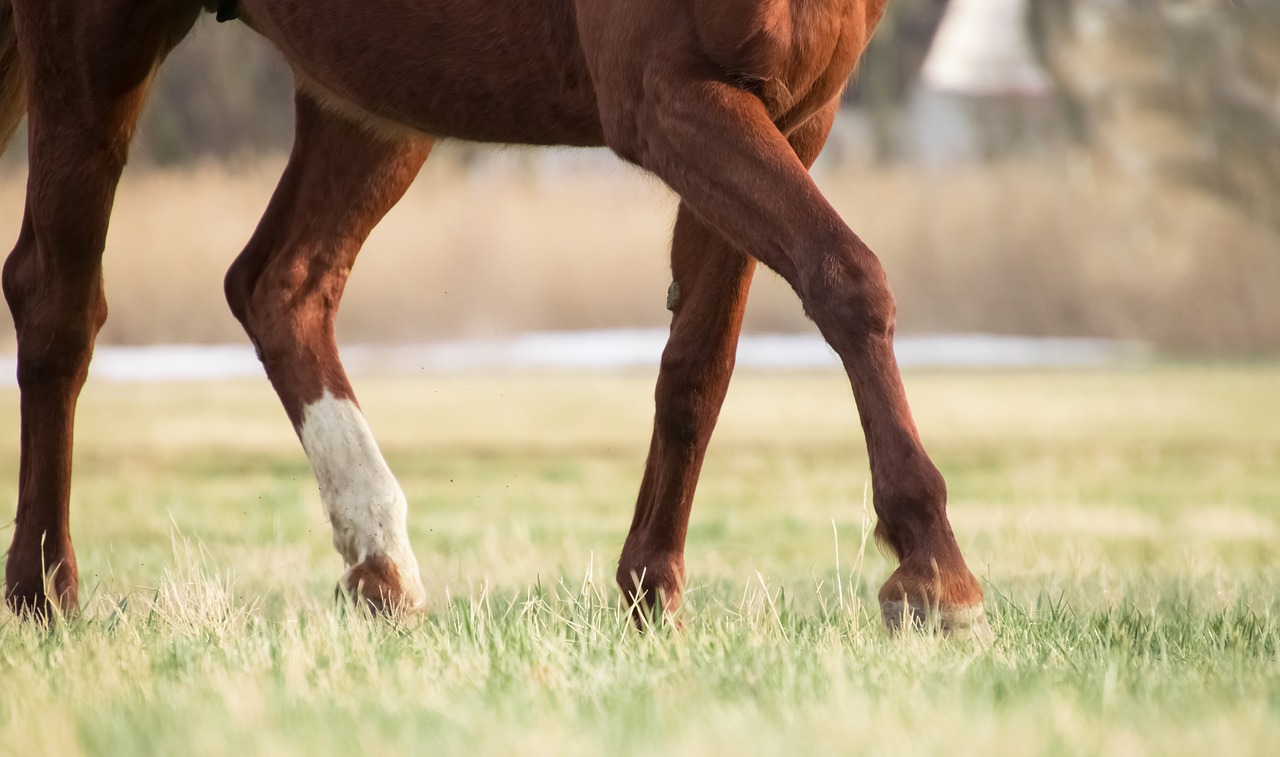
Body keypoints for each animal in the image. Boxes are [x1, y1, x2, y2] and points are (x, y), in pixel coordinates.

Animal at [0, 0, 988, 637]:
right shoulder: (668, 94)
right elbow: (847, 279)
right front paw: (933, 569)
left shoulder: (794, 111)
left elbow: (699, 363)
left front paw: (651, 589)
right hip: (98, 44)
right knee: (55, 299)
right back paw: (45, 592)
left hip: (374, 94)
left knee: (280, 284)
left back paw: (382, 565)